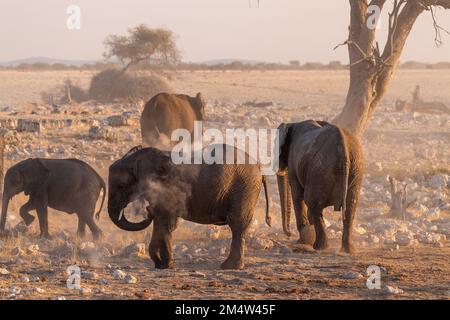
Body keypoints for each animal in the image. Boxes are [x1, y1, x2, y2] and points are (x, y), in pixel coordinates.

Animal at [108, 145, 270, 270]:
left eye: (122, 185)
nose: (147, 211)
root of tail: (259, 167)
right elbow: (161, 223)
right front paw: (161, 265)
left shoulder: (168, 191)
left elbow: (167, 224)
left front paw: (168, 265)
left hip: (244, 187)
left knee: (237, 225)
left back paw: (229, 267)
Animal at [276, 119, 364, 254]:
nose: (289, 234)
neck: (292, 124)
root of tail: (343, 149)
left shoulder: (293, 164)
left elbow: (297, 195)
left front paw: (303, 239)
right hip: (356, 169)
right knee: (350, 208)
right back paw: (347, 250)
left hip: (319, 169)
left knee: (312, 202)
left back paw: (319, 247)